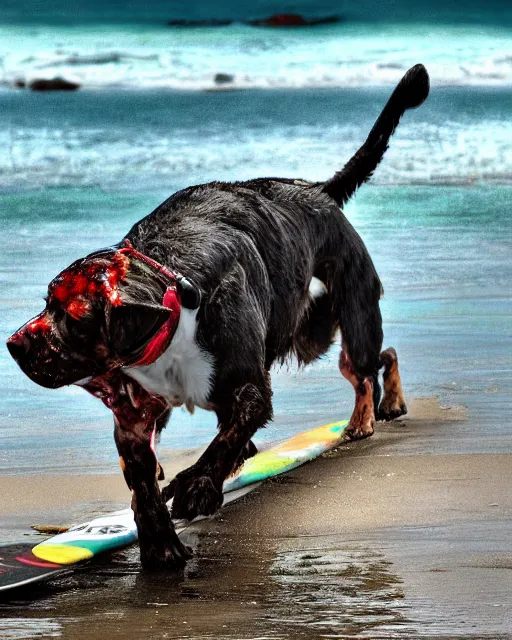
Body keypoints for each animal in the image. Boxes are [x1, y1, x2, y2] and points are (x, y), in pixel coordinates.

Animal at [6, 63, 428, 568]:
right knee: (369, 358)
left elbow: (226, 438)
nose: (12, 344)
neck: (173, 297)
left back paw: (372, 414)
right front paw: (160, 543)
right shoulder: (133, 419)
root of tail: (317, 192)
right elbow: (144, 482)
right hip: (311, 331)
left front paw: (197, 485)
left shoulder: (248, 387)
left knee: (369, 362)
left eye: (70, 315)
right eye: (45, 302)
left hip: (348, 315)